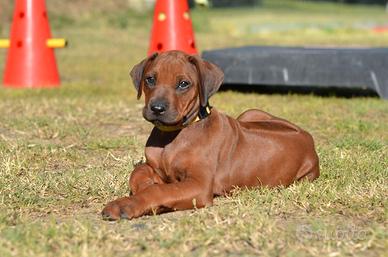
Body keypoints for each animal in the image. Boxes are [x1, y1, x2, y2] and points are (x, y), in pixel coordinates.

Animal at [101, 50, 320, 220]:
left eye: (183, 84)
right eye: (150, 79)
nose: (157, 108)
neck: (172, 136)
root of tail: (308, 138)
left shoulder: (199, 185)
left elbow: (160, 190)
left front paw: (127, 204)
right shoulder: (156, 168)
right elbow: (138, 171)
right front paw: (144, 187)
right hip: (250, 113)